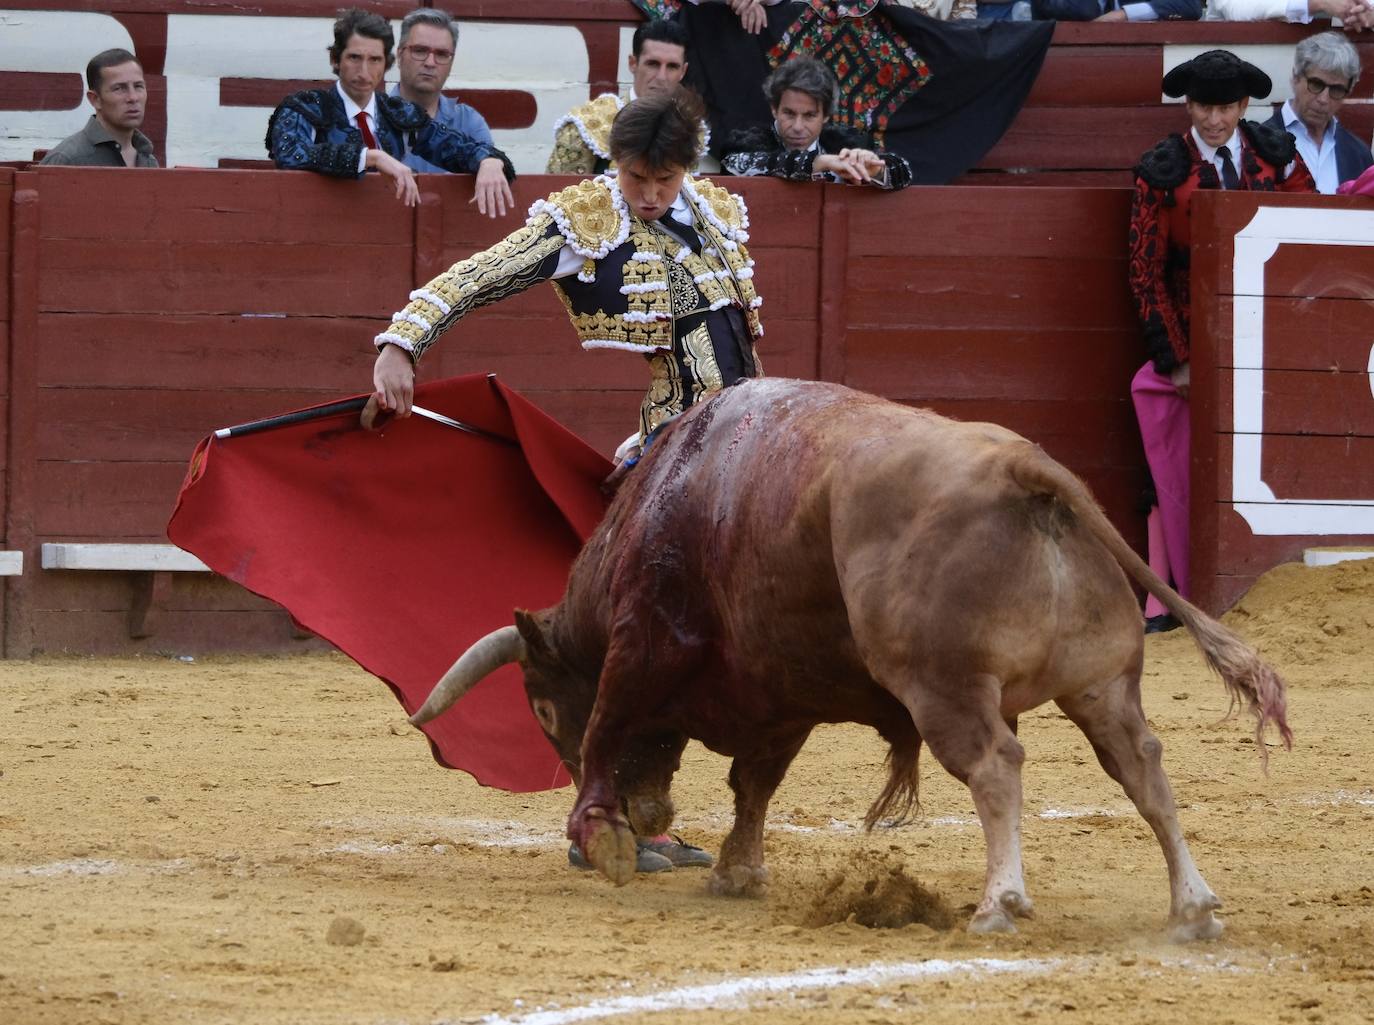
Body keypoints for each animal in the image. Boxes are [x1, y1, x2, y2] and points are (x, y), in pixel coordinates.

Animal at [406, 376, 1286, 934]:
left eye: (542, 703)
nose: (650, 813)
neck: (679, 490)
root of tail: (1022, 467)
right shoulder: (780, 692)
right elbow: (754, 783)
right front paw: (735, 871)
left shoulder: (644, 641)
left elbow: (609, 731)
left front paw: (603, 836)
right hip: (1103, 684)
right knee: (1141, 766)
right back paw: (1192, 907)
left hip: (947, 687)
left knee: (997, 766)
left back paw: (999, 903)